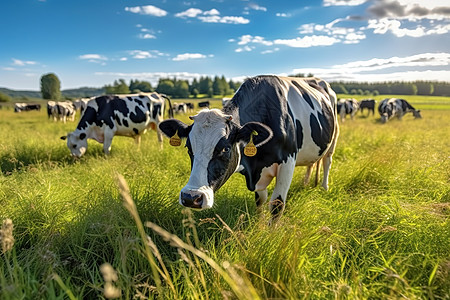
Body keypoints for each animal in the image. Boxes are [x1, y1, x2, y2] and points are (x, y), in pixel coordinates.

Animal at [160, 75, 340, 220]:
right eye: (189, 148)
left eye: (225, 149)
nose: (191, 197)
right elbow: (260, 200)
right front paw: (259, 227)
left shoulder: (288, 162)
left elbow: (276, 205)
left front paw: (270, 236)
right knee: (312, 163)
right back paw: (306, 182)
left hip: (334, 137)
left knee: (327, 161)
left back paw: (324, 187)